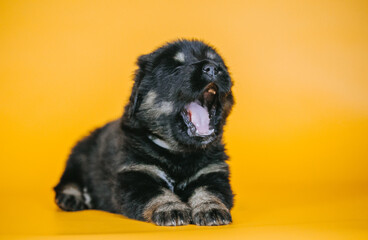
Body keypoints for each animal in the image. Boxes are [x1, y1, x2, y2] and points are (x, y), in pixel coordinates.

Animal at [53, 39, 234, 225]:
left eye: (218, 63)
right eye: (176, 69)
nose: (212, 68)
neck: (178, 152)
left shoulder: (212, 172)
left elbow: (208, 191)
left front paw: (211, 209)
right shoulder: (136, 174)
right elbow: (157, 193)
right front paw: (170, 209)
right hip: (79, 156)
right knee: (68, 181)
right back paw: (71, 198)